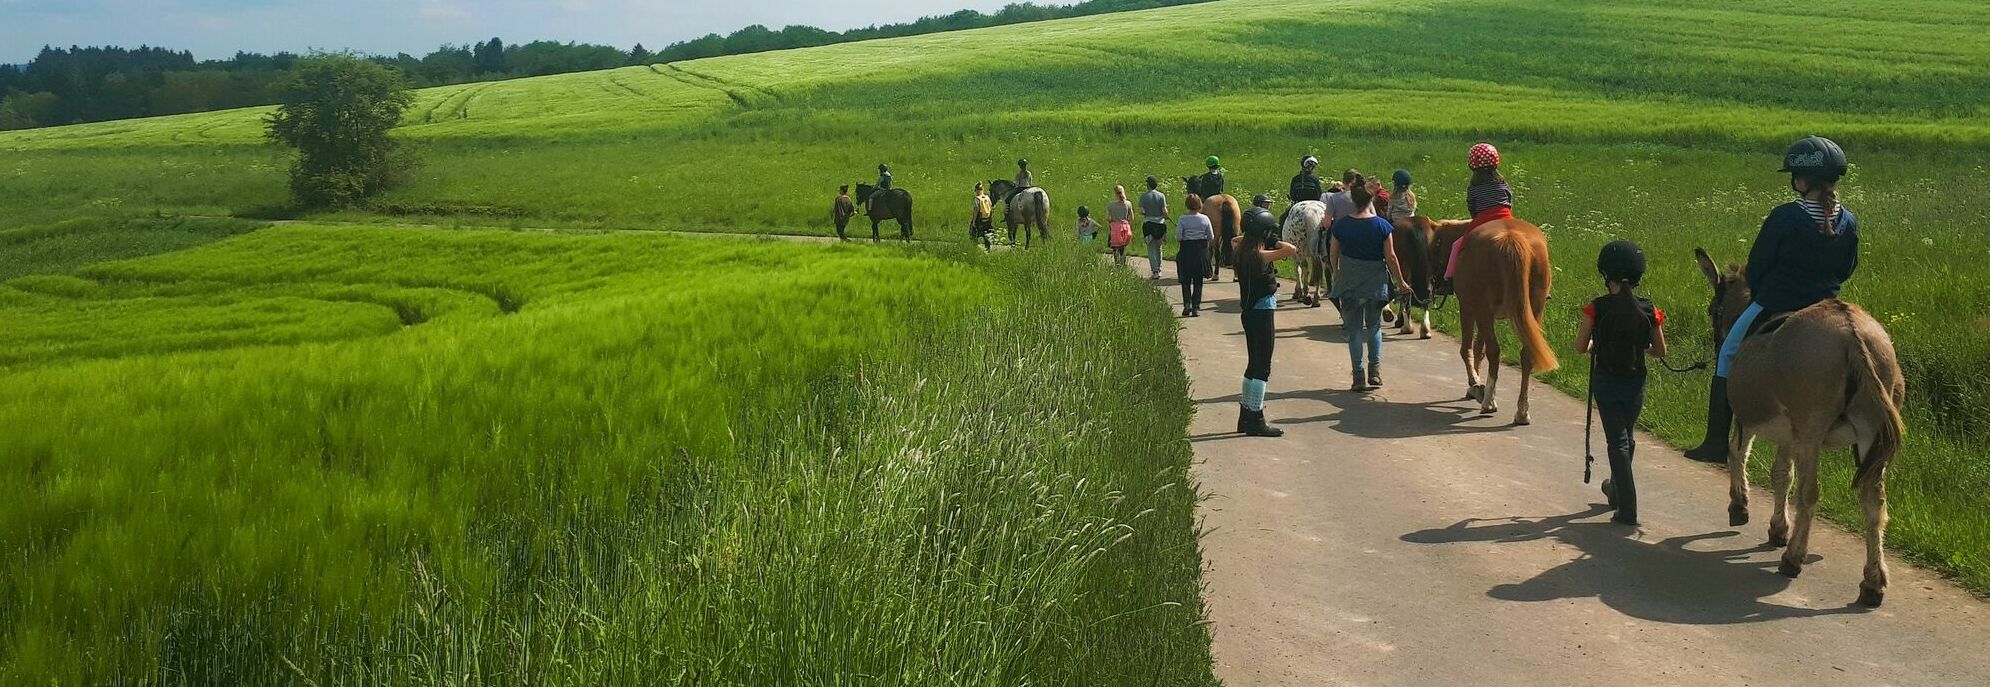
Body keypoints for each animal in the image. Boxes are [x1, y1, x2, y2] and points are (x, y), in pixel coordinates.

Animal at [1440, 218, 1560, 422]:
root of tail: (1510, 237)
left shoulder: (1469, 309)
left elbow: (1468, 349)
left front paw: (1475, 386)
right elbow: (1479, 348)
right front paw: (1477, 386)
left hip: (1482, 309)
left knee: (1494, 352)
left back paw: (1488, 402)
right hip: (1535, 310)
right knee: (1526, 354)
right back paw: (1522, 412)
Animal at [1687, 247, 1902, 605]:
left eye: (1712, 310)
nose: (1717, 344)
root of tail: (1851, 331)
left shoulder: (1753, 421)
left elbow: (1738, 453)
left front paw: (1740, 506)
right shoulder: (1791, 434)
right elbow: (1781, 475)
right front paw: (1777, 528)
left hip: (1813, 432)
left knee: (1809, 493)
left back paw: (1793, 559)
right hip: (1866, 434)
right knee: (1874, 502)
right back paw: (1872, 584)